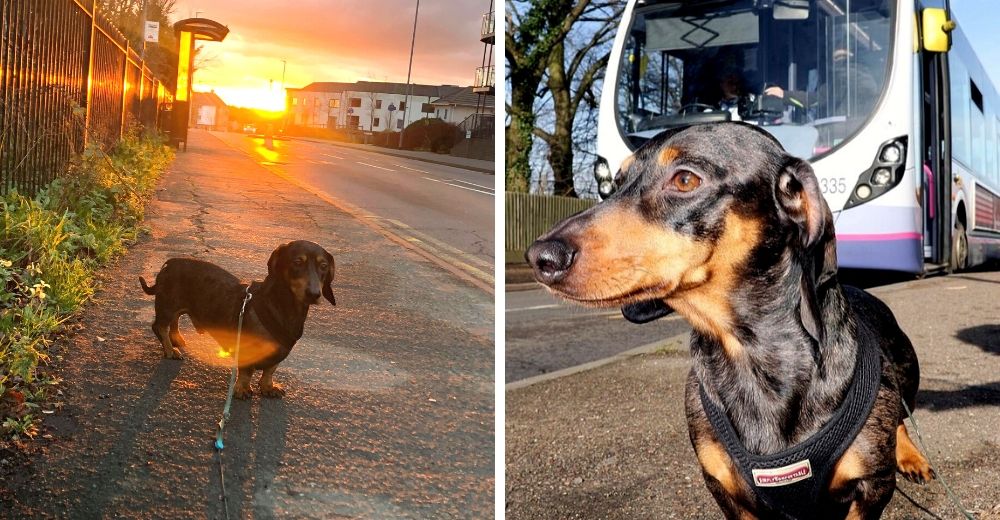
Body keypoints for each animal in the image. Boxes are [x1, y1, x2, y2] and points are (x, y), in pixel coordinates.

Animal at [140, 240, 336, 398]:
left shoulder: (280, 352)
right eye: (297, 262)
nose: (314, 294)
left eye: (324, 266)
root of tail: (169, 263)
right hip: (167, 305)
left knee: (175, 320)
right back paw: (170, 350)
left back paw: (176, 339)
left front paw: (268, 387)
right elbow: (246, 372)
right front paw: (241, 389)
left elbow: (270, 370)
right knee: (159, 326)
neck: (282, 306)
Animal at [528, 123, 932, 520]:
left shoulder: (873, 488)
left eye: (685, 179)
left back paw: (911, 456)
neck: (751, 357)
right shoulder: (724, 488)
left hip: (907, 371)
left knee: (902, 416)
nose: (540, 257)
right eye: (616, 182)